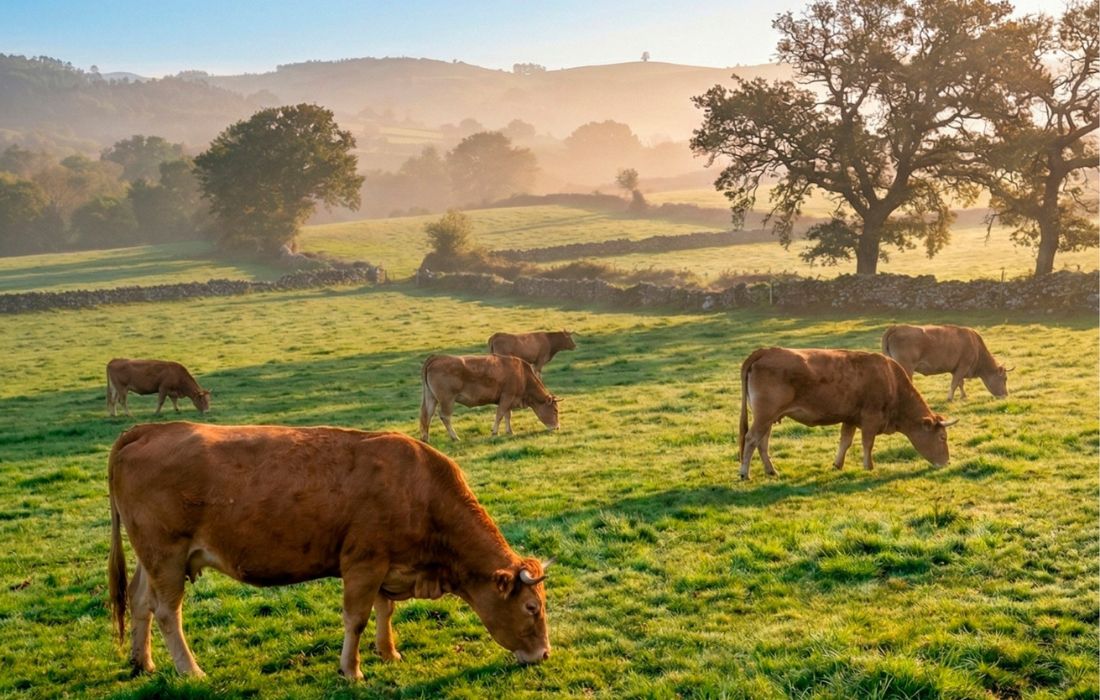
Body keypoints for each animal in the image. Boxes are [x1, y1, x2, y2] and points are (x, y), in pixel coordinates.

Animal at [107, 422, 551, 680]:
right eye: (532, 608)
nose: (544, 654)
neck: (420, 489)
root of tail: (149, 429)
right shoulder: (363, 563)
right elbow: (356, 619)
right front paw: (351, 670)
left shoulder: (387, 566)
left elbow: (384, 610)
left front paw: (389, 652)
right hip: (167, 553)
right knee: (168, 612)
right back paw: (191, 670)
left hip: (153, 557)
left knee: (141, 602)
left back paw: (142, 662)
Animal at [420, 354, 560, 441]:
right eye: (555, 410)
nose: (557, 427)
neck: (522, 375)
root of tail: (436, 357)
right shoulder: (507, 396)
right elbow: (500, 414)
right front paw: (494, 432)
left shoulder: (508, 399)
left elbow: (507, 415)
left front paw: (509, 431)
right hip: (447, 399)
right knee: (445, 417)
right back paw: (455, 437)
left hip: (431, 397)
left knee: (428, 416)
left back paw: (425, 438)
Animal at [738, 348, 956, 480]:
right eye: (942, 437)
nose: (946, 462)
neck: (892, 381)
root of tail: (766, 351)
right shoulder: (870, 419)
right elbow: (867, 443)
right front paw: (869, 466)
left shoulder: (850, 418)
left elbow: (845, 441)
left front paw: (837, 464)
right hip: (765, 415)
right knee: (751, 439)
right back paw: (744, 473)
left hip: (768, 418)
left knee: (762, 442)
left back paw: (771, 470)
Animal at [881, 324, 1012, 400]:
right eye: (1005, 378)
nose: (1006, 395)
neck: (976, 347)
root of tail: (896, 327)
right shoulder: (963, 366)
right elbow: (955, 383)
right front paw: (950, 398)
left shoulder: (957, 369)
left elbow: (960, 383)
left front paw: (964, 396)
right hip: (906, 366)